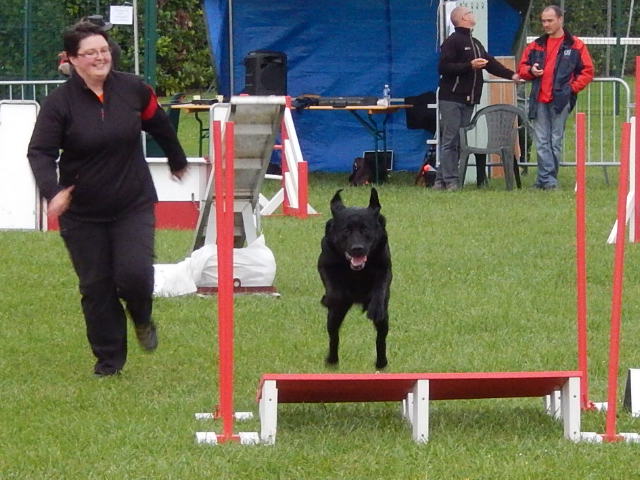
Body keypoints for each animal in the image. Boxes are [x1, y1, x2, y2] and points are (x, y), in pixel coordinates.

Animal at [316, 187, 390, 368]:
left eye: (366, 230)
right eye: (346, 231)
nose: (357, 248)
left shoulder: (385, 266)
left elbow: (380, 286)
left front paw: (374, 308)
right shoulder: (325, 264)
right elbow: (334, 290)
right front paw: (330, 299)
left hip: (384, 321)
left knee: (381, 338)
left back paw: (381, 363)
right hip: (333, 319)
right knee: (334, 335)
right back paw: (332, 360)